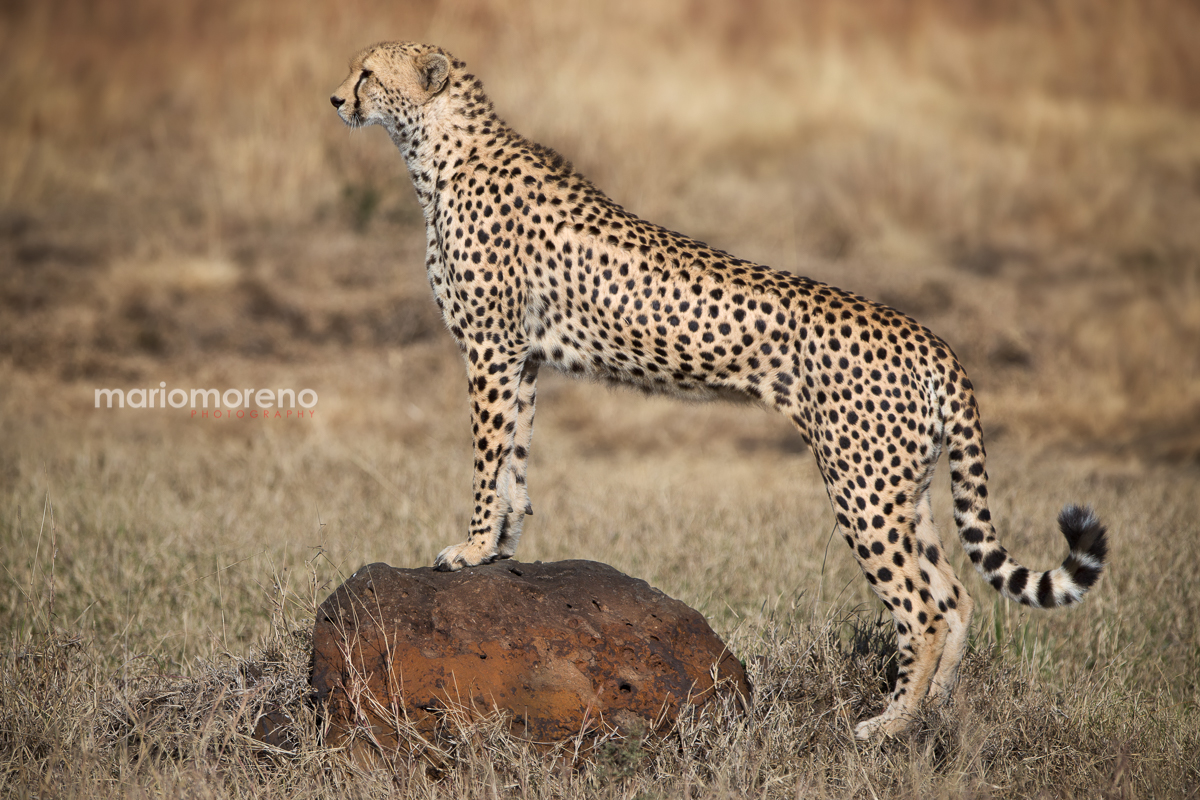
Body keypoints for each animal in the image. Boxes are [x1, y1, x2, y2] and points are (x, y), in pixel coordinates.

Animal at [330, 41, 1109, 739]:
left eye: (367, 70)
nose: (336, 99)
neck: (439, 149)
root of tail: (929, 337)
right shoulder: (518, 357)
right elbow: (513, 462)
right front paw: (498, 547)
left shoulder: (490, 349)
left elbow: (486, 459)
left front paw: (467, 548)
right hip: (902, 486)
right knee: (955, 600)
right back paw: (935, 715)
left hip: (861, 486)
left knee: (920, 609)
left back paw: (886, 725)